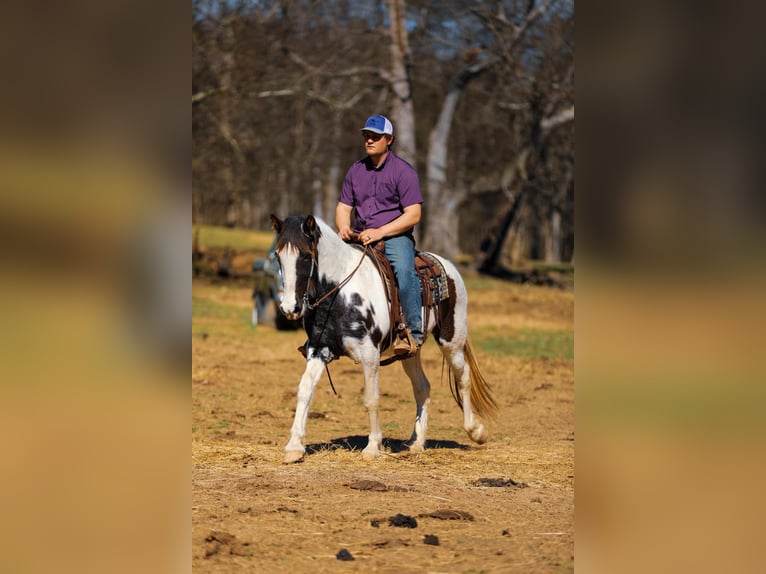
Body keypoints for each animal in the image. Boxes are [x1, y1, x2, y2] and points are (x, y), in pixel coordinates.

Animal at [270, 214, 497, 464]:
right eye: (278, 255)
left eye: (305, 255)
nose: (289, 308)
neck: (339, 293)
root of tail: (447, 265)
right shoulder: (318, 349)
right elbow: (305, 390)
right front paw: (294, 447)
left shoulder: (369, 354)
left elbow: (371, 398)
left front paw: (372, 446)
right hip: (411, 352)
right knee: (422, 387)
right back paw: (416, 442)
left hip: (452, 340)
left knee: (463, 377)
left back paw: (476, 431)